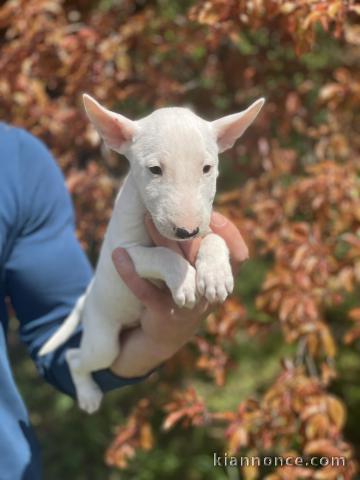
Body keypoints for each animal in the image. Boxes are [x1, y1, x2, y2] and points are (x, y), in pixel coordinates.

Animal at [39, 95, 264, 414]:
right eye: (155, 169)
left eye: (207, 168)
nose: (186, 231)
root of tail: (88, 298)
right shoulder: (122, 253)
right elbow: (160, 255)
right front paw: (185, 281)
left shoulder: (208, 226)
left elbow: (215, 239)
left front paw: (215, 275)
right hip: (103, 340)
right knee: (74, 357)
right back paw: (88, 394)